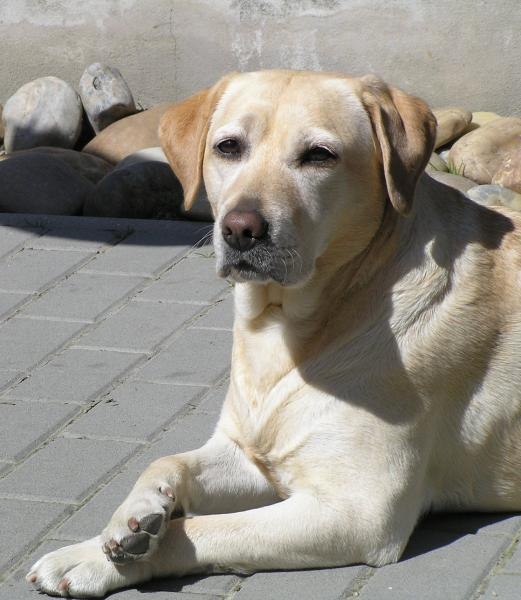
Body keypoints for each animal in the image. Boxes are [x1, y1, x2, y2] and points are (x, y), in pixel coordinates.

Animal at [26, 70, 520, 596]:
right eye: (228, 147)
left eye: (319, 155)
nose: (241, 229)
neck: (284, 327)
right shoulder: (251, 454)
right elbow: (167, 461)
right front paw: (130, 517)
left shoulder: (359, 511)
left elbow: (199, 530)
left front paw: (87, 560)